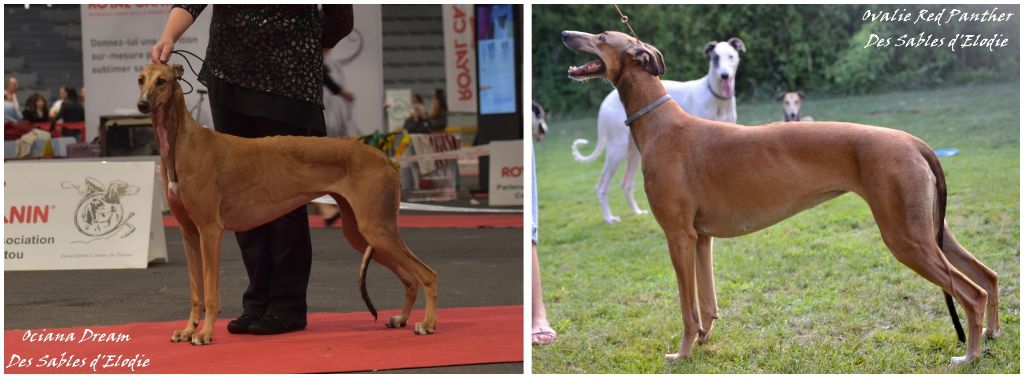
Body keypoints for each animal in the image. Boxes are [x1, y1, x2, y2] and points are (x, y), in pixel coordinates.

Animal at [138, 62, 438, 344]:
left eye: (162, 81)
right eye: (141, 79)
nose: (142, 104)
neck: (182, 143)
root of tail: (386, 159)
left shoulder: (210, 230)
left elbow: (210, 292)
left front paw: (205, 333)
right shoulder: (189, 232)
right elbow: (196, 292)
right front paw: (188, 330)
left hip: (376, 228)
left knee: (427, 274)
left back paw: (428, 324)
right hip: (361, 232)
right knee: (410, 277)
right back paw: (401, 318)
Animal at [577, 37, 745, 222]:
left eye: (731, 56)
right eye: (715, 58)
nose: (725, 75)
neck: (717, 98)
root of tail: (605, 101)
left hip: (634, 151)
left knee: (626, 183)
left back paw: (636, 211)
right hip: (617, 148)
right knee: (602, 185)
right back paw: (609, 218)